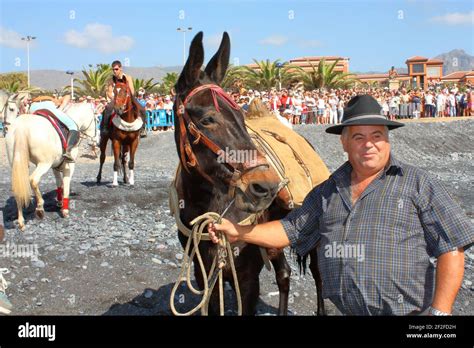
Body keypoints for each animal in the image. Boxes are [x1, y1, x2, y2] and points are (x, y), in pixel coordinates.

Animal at [5, 102, 96, 231]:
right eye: (96, 119)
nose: (95, 139)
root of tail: (21, 127)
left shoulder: (55, 166)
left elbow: (59, 183)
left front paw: (59, 201)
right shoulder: (69, 166)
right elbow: (66, 184)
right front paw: (65, 209)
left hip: (17, 163)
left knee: (18, 187)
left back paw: (21, 221)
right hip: (44, 163)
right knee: (33, 180)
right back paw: (39, 208)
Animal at [170, 32, 322, 316]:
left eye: (241, 116)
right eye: (207, 119)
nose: (266, 187)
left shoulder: (248, 279)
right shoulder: (205, 276)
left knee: (318, 274)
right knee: (284, 274)